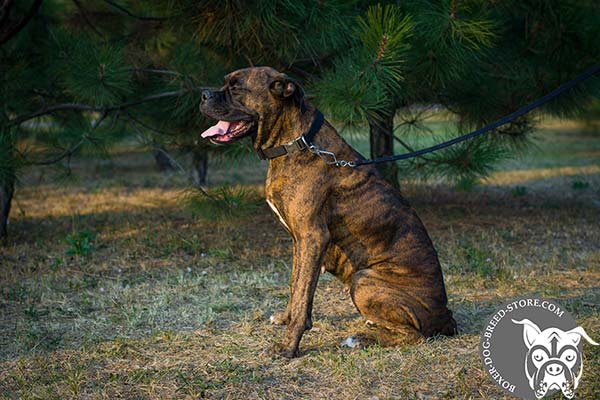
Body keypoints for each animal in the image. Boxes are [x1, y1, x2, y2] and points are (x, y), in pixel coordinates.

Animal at [200, 66, 454, 360]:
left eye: (236, 88)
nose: (203, 94)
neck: (295, 142)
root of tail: (446, 316)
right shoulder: (299, 241)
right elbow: (296, 286)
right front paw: (286, 318)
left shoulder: (312, 237)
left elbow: (302, 295)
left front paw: (289, 347)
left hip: (363, 278)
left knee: (416, 335)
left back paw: (362, 339)